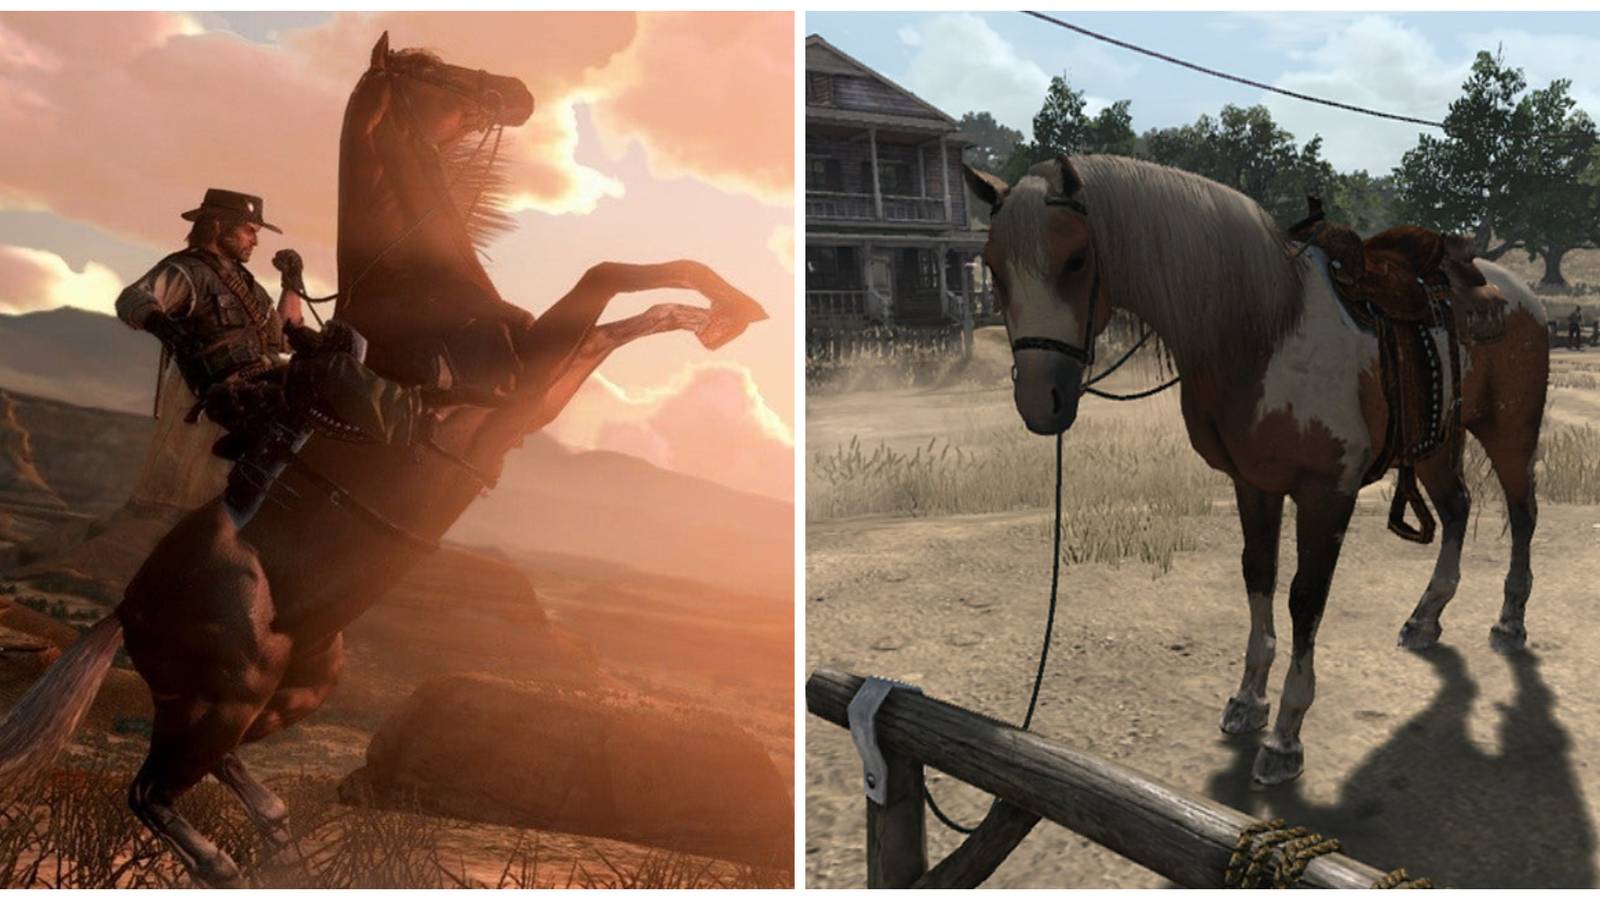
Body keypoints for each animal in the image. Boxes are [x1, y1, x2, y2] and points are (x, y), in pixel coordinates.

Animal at [0, 33, 768, 886]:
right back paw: (238, 864)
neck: (417, 294)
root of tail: (123, 609)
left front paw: (721, 315)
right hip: (226, 693)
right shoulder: (524, 382)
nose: (517, 91)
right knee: (152, 791)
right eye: (430, 69)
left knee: (221, 765)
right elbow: (606, 272)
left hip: (297, 684)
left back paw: (282, 838)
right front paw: (730, 310)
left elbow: (635, 309)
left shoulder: (540, 390)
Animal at [962, 154, 1547, 787]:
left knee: (1522, 513)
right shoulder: (1254, 483)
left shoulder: (1326, 493)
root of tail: (1522, 294)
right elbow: (1258, 576)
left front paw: (1287, 736)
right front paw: (1248, 701)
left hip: (1510, 434)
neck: (1263, 332)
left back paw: (1510, 621)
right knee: (1458, 507)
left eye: (1075, 259)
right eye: (992, 267)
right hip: (1436, 440)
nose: (1041, 401)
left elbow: (1305, 599)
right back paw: (1425, 618)